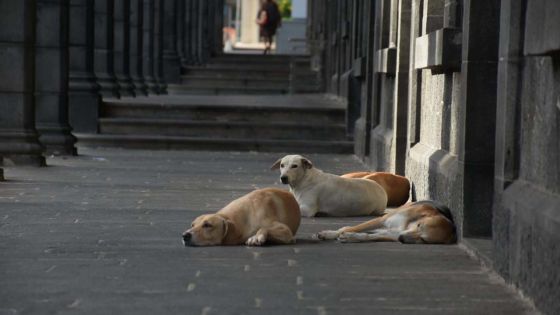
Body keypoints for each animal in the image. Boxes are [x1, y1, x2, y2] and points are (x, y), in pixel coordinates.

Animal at [318, 201, 458, 246]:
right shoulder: (382, 220)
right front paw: (330, 234)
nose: (401, 238)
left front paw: (350, 237)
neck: (407, 225)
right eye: (419, 225)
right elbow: (353, 228)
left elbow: (367, 236)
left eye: (424, 240)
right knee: (352, 227)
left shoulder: (392, 234)